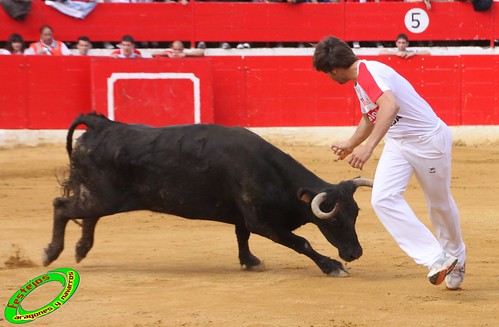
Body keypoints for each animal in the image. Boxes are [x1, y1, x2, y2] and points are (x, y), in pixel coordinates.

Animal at [43, 113, 374, 276]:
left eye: (356, 215)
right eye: (334, 221)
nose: (355, 253)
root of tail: (102, 124)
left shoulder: (244, 216)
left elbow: (241, 235)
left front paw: (250, 261)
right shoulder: (263, 222)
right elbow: (301, 242)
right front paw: (333, 266)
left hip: (97, 195)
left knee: (86, 215)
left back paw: (81, 249)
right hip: (100, 195)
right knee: (62, 206)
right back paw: (51, 253)